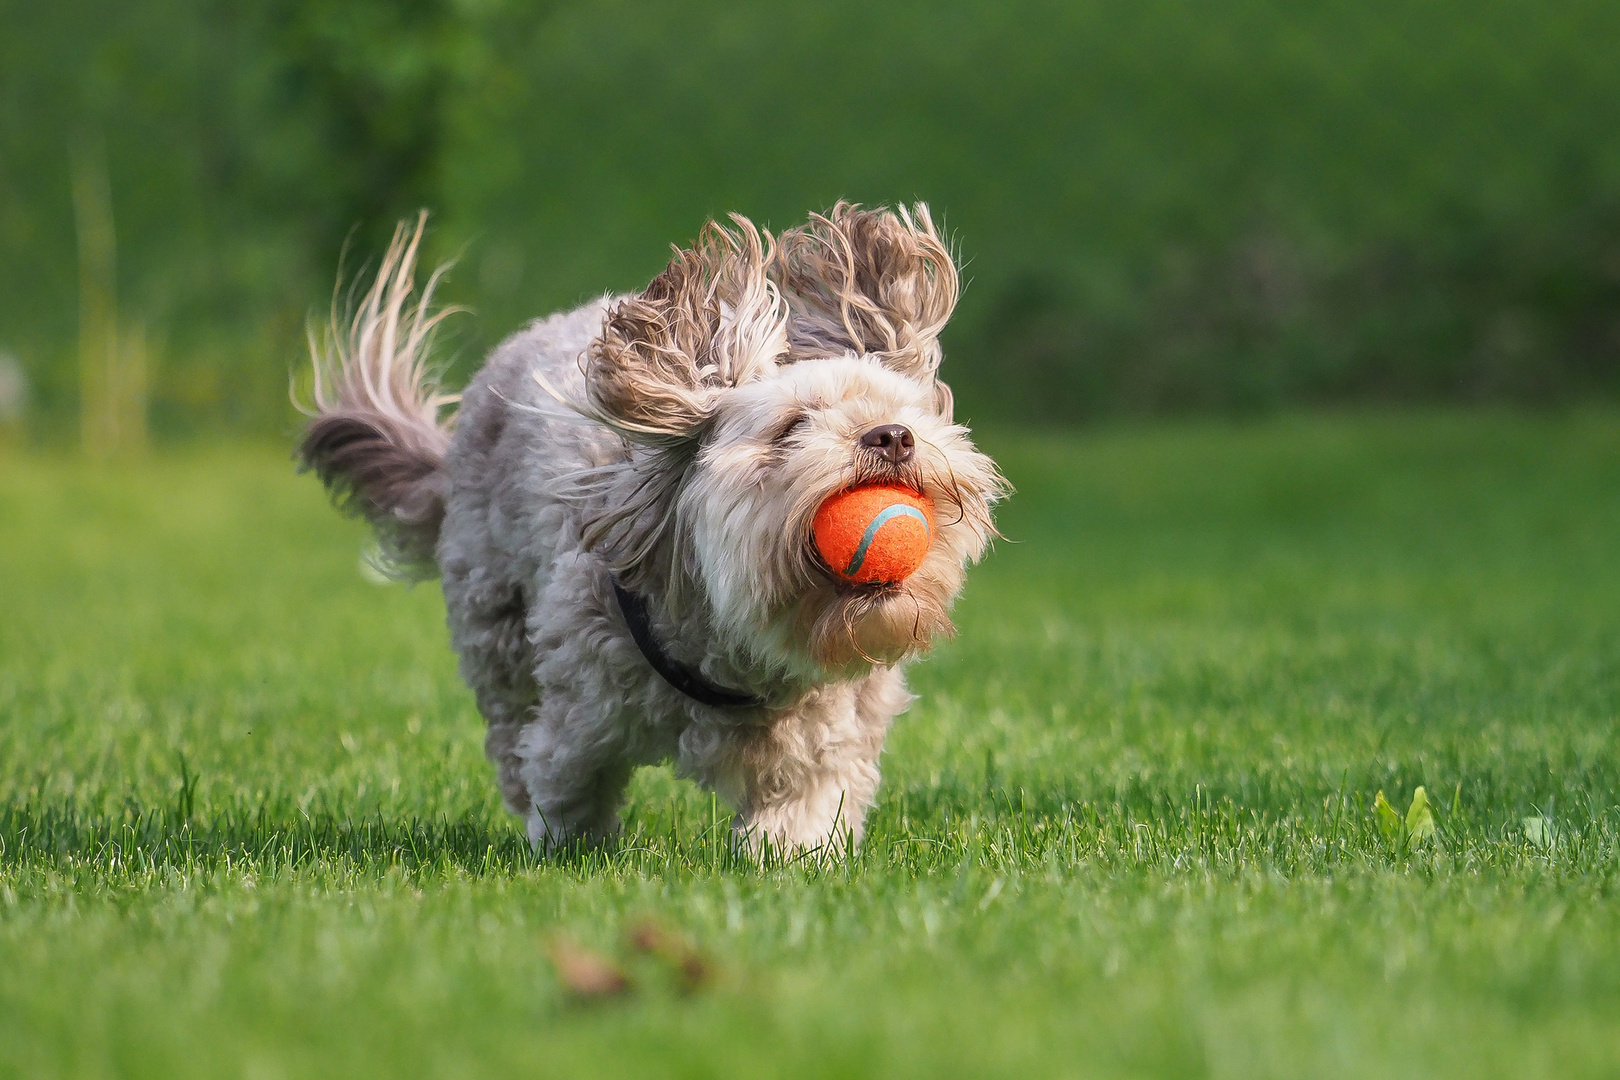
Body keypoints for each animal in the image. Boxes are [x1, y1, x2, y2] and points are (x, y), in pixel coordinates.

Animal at [299, 207, 1004, 854]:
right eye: (792, 426)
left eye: (903, 411)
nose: (893, 436)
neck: (743, 660)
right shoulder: (581, 705)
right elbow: (565, 779)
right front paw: (570, 848)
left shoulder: (831, 729)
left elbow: (807, 803)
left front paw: (795, 855)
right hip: (494, 620)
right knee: (509, 722)